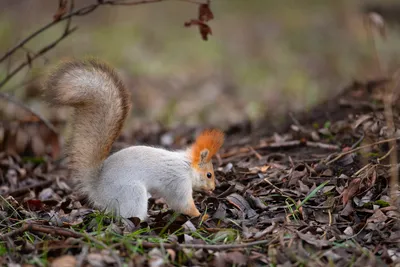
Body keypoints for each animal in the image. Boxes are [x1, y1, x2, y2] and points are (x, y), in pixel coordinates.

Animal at [44, 59, 227, 221]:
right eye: (209, 174)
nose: (213, 188)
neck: (187, 166)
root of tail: (97, 187)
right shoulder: (179, 182)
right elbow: (183, 204)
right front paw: (201, 215)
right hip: (132, 193)